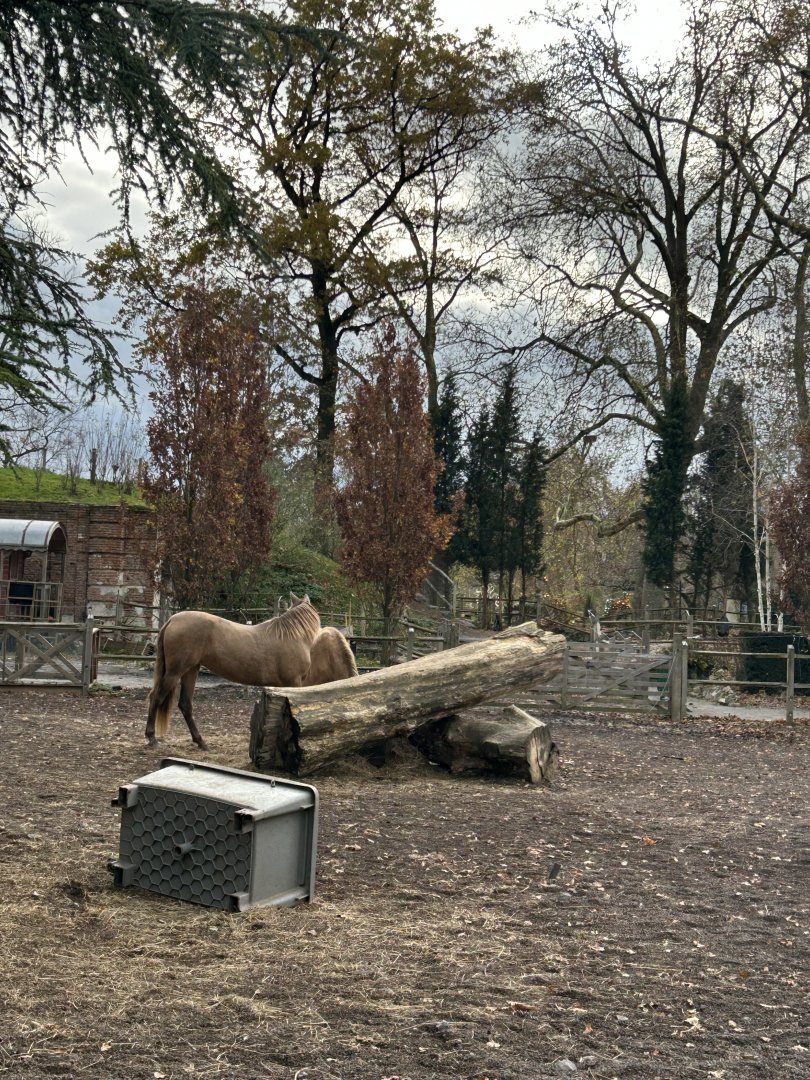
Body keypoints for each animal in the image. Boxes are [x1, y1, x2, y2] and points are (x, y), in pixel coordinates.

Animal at [146, 593, 322, 750]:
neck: (293, 636)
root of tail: (172, 620)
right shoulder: (294, 682)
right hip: (175, 672)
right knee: (156, 697)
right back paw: (152, 738)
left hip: (190, 670)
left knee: (185, 704)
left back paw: (201, 742)